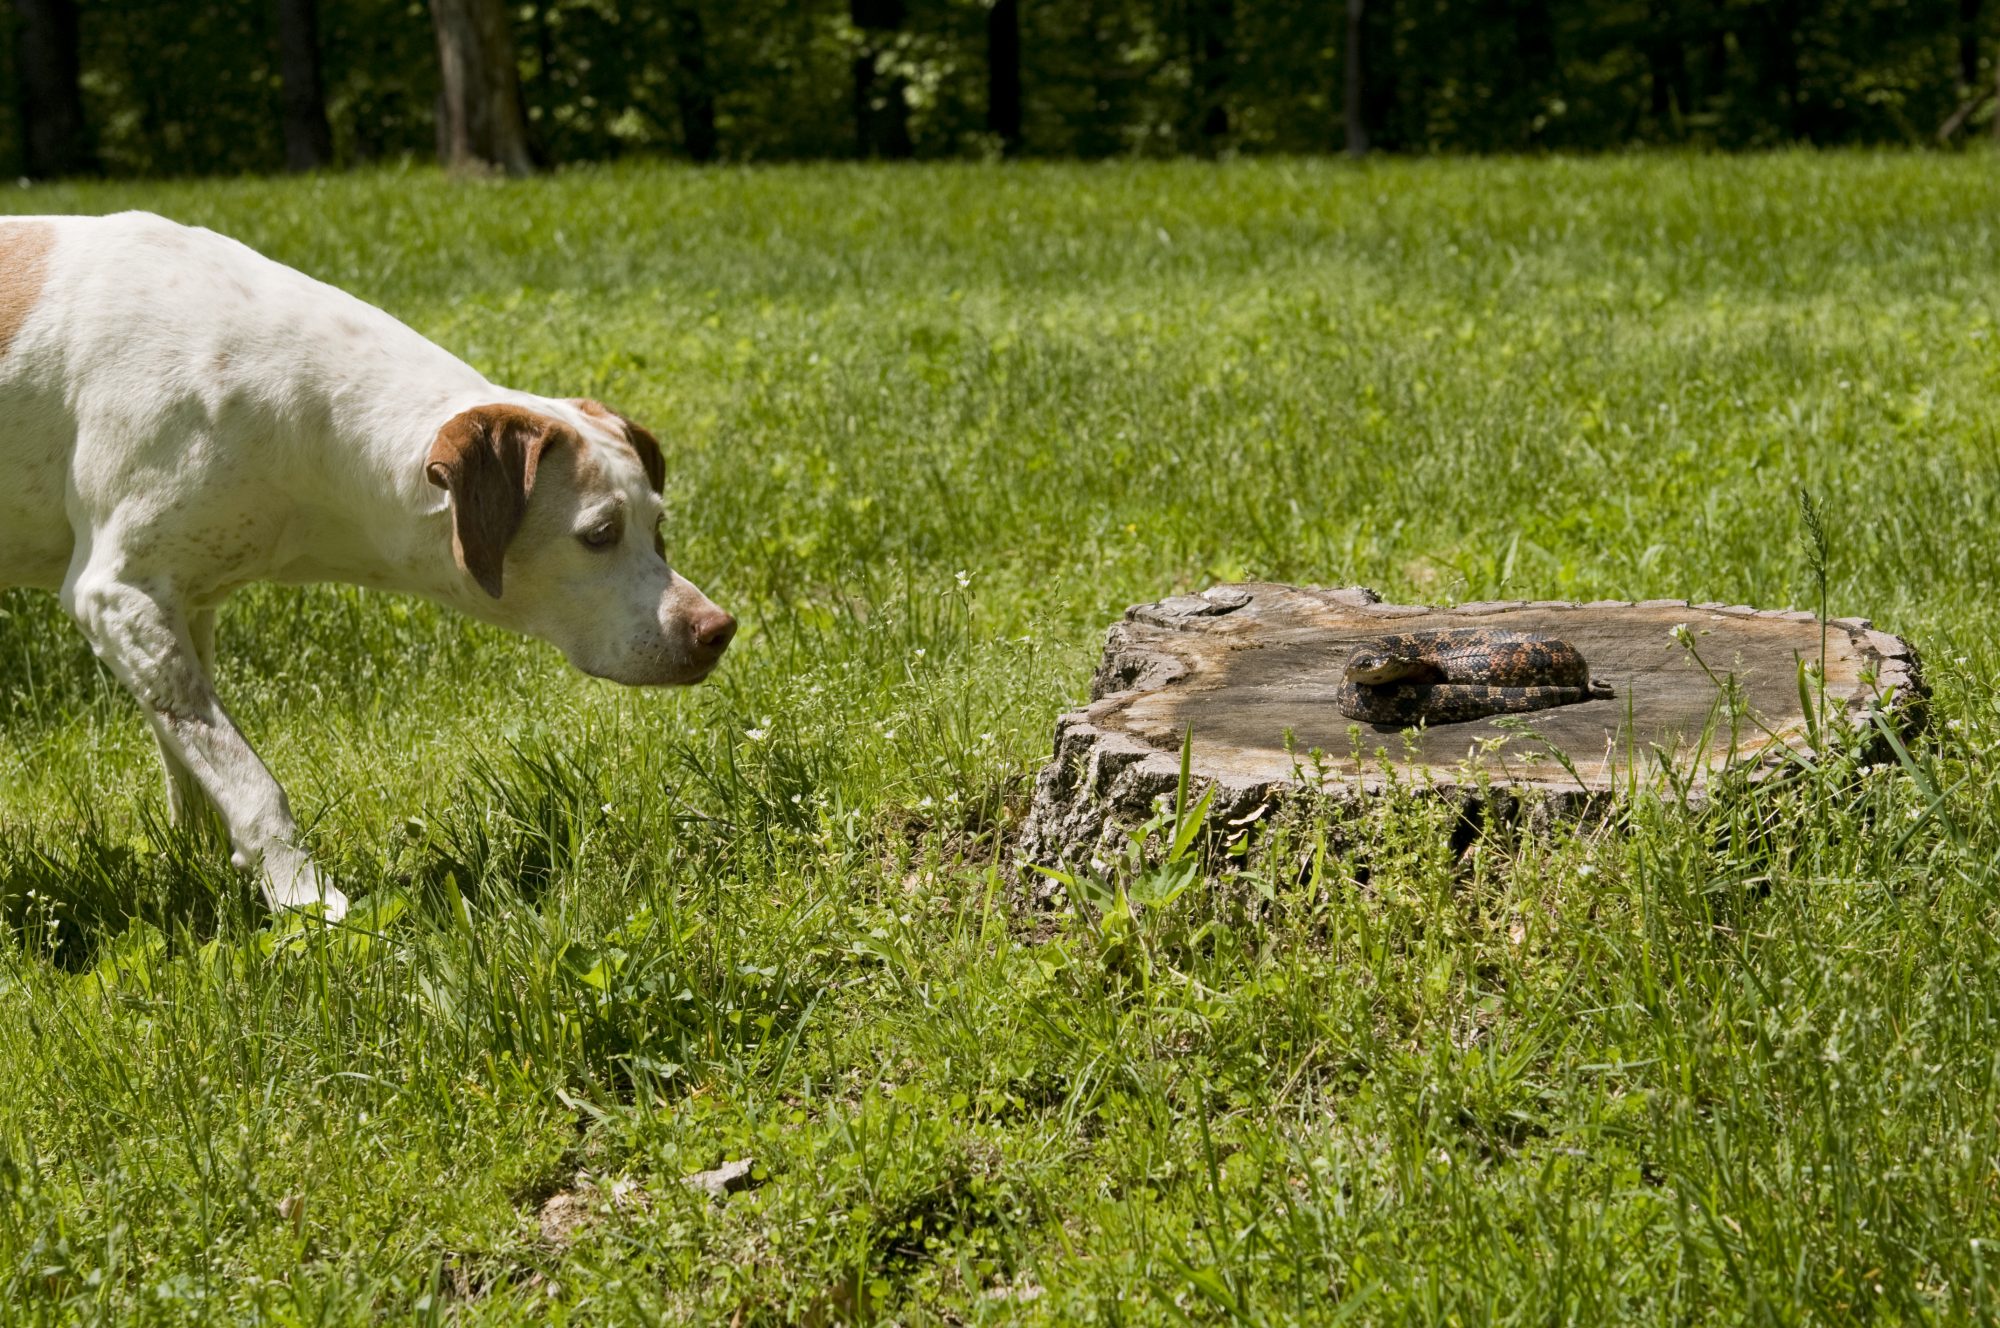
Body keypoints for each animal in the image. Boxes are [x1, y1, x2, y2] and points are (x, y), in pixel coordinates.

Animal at [0, 213, 740, 924]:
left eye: (658, 526)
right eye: (599, 535)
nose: (718, 629)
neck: (293, 412)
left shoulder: (184, 600)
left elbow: (184, 751)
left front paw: (202, 865)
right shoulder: (117, 593)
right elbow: (244, 774)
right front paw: (298, 892)